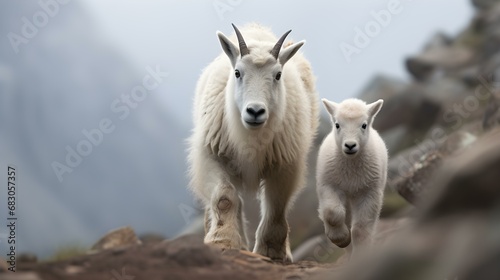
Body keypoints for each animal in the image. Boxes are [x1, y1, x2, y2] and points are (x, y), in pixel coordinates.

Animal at [186, 23, 318, 262]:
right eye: (238, 72)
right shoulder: (213, 155)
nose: (255, 111)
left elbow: (277, 206)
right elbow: (224, 197)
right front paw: (222, 241)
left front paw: (273, 252)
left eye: (278, 75)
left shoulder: (286, 163)